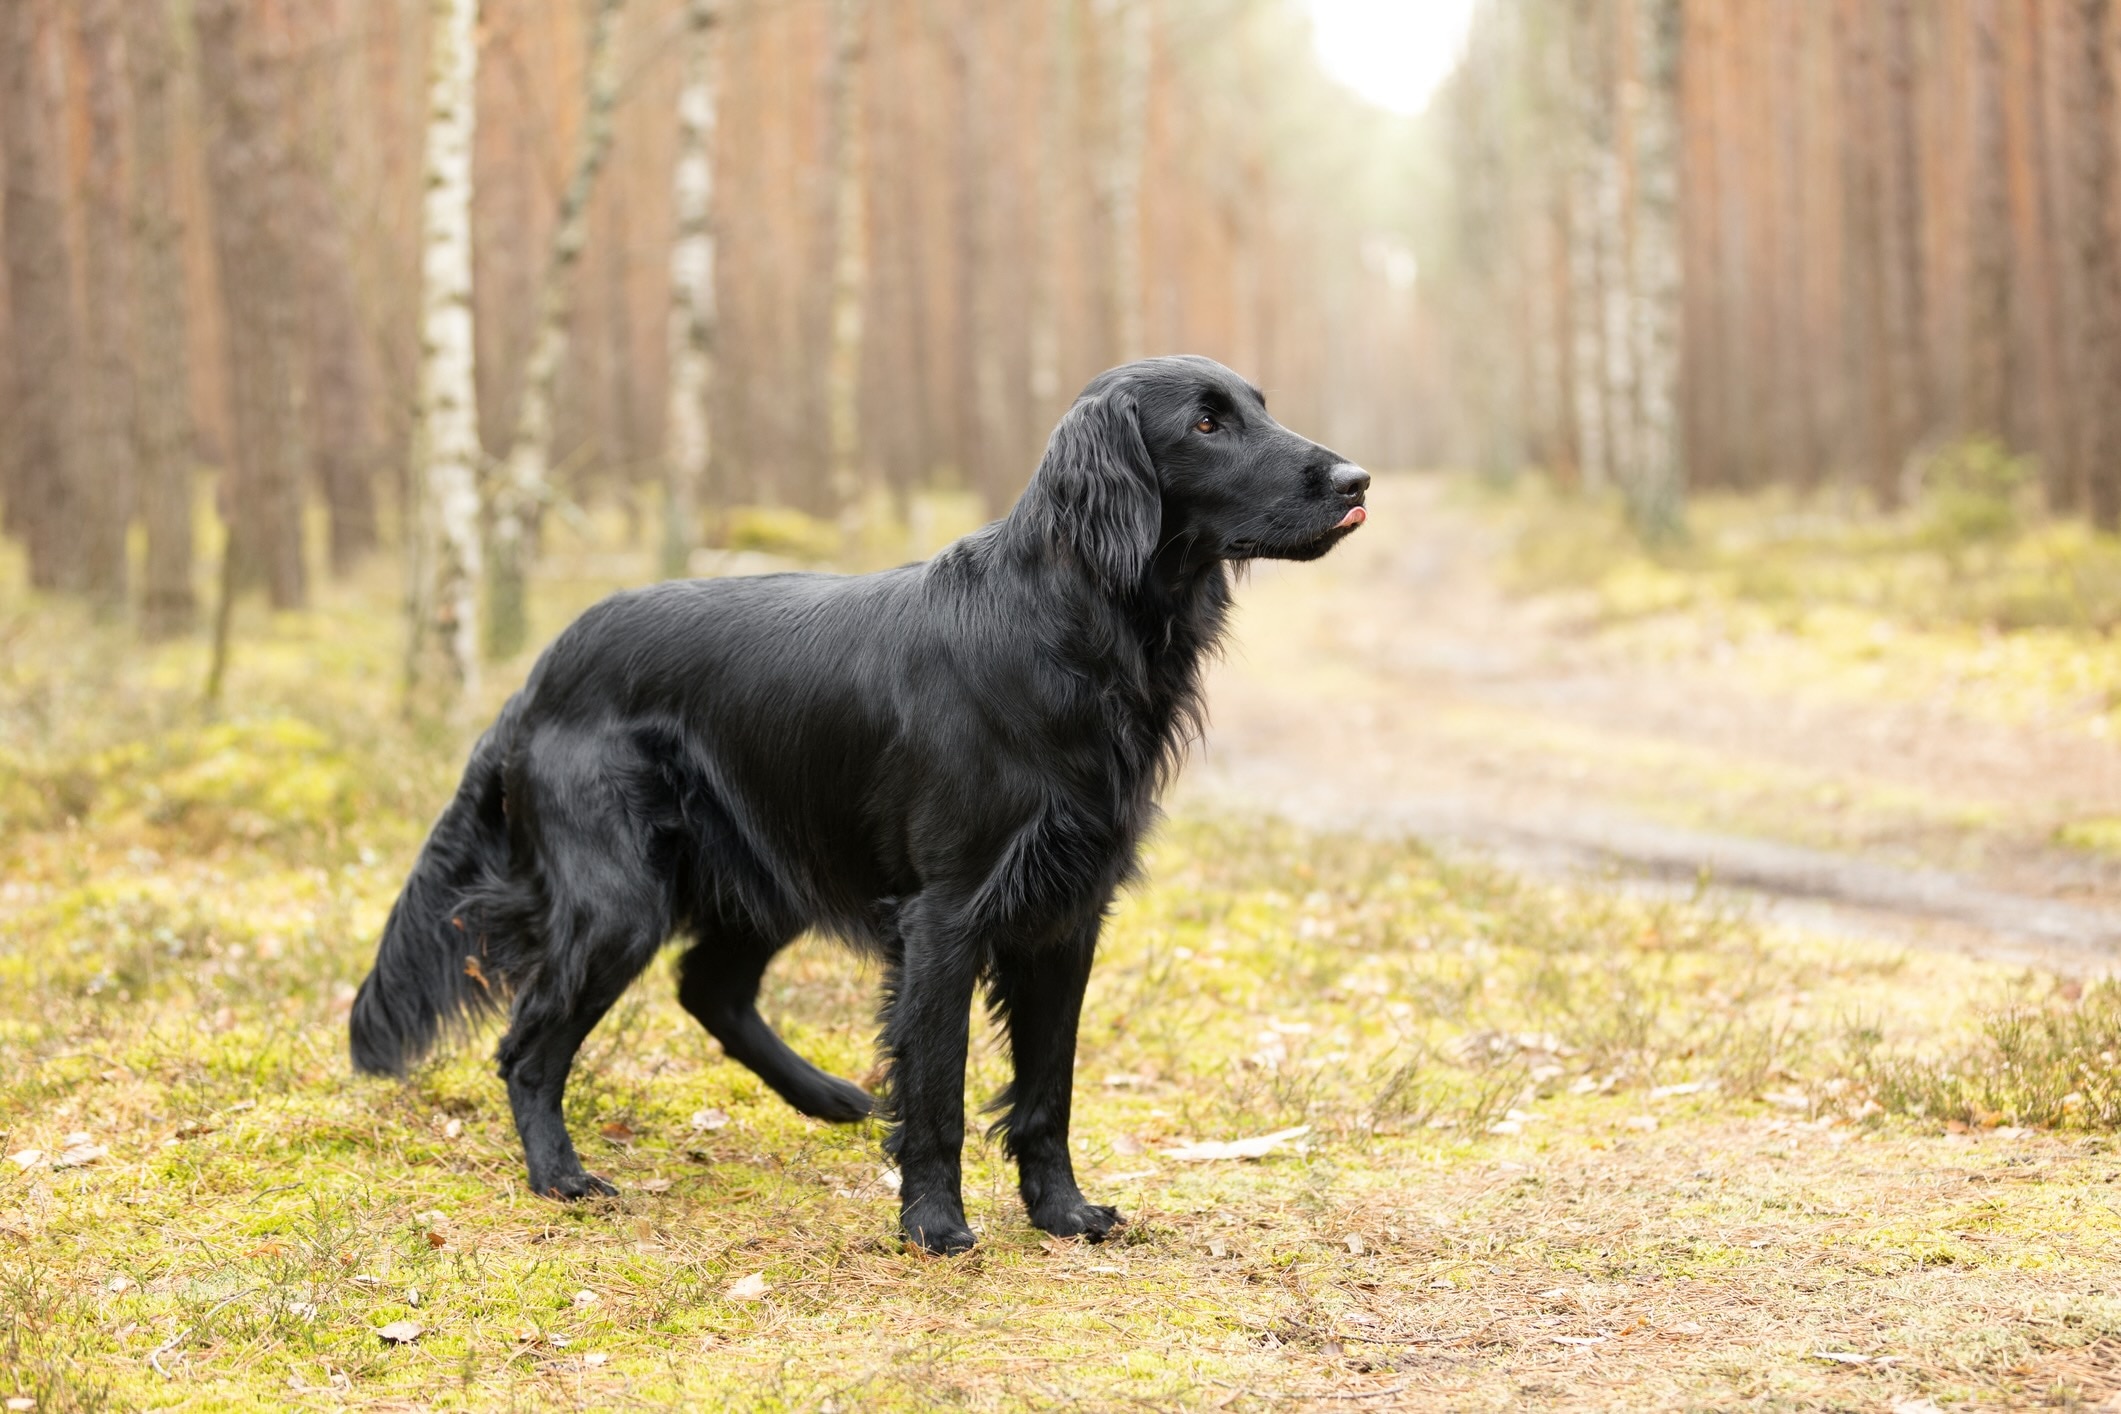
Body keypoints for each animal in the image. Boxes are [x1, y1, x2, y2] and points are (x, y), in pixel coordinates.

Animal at [354, 354, 1365, 1246]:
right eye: (1205, 424)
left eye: (1259, 406)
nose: (1357, 478)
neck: (1067, 628)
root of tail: (537, 676)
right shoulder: (946, 913)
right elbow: (940, 1088)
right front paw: (933, 1224)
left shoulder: (1066, 912)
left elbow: (1048, 1089)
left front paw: (1063, 1213)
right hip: (619, 900)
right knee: (530, 1047)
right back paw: (560, 1175)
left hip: (764, 874)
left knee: (707, 988)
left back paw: (830, 1096)